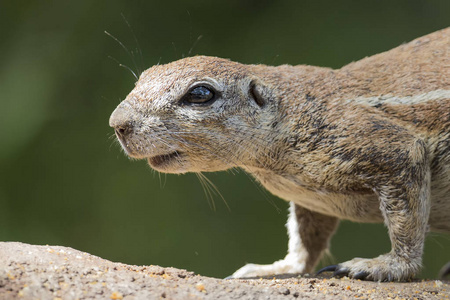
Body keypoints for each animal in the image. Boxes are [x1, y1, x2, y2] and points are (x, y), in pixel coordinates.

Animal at [110, 28, 450, 282]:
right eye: (143, 77)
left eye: (200, 93)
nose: (117, 123)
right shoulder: (309, 196)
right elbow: (306, 236)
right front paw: (273, 268)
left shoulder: (393, 149)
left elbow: (406, 222)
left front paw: (382, 266)